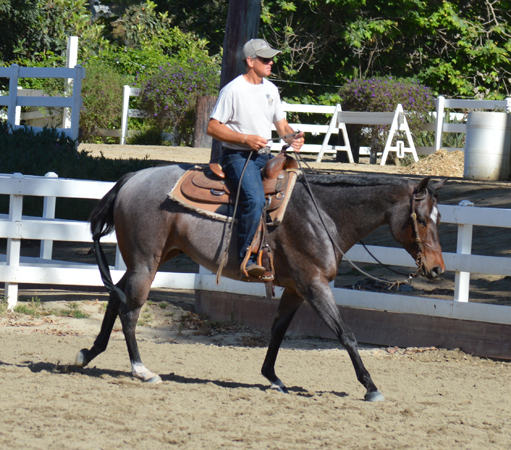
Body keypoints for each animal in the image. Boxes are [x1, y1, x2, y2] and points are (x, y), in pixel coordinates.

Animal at [75, 163, 444, 402]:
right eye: (424, 220)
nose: (437, 269)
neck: (322, 215)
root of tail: (131, 178)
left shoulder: (295, 289)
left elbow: (278, 331)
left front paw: (273, 377)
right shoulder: (314, 285)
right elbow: (346, 334)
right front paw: (370, 386)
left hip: (156, 257)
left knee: (116, 298)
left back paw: (89, 353)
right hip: (145, 262)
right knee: (130, 311)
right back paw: (141, 369)